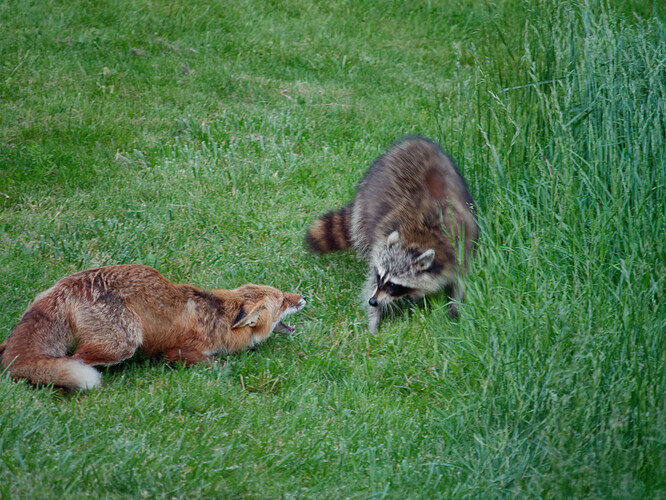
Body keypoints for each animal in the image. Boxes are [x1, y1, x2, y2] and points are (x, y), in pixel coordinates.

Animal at [0, 266, 306, 390]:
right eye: (282, 301)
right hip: (122, 343)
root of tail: (67, 284)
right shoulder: (177, 350)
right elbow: (212, 363)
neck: (219, 318)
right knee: (74, 360)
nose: (304, 297)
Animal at [306, 135, 478, 334]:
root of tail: (415, 141)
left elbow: (463, 278)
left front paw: (456, 307)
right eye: (379, 276)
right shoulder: (381, 236)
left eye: (393, 285)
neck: (419, 238)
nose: (372, 301)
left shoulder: (461, 245)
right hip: (368, 197)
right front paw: (374, 317)